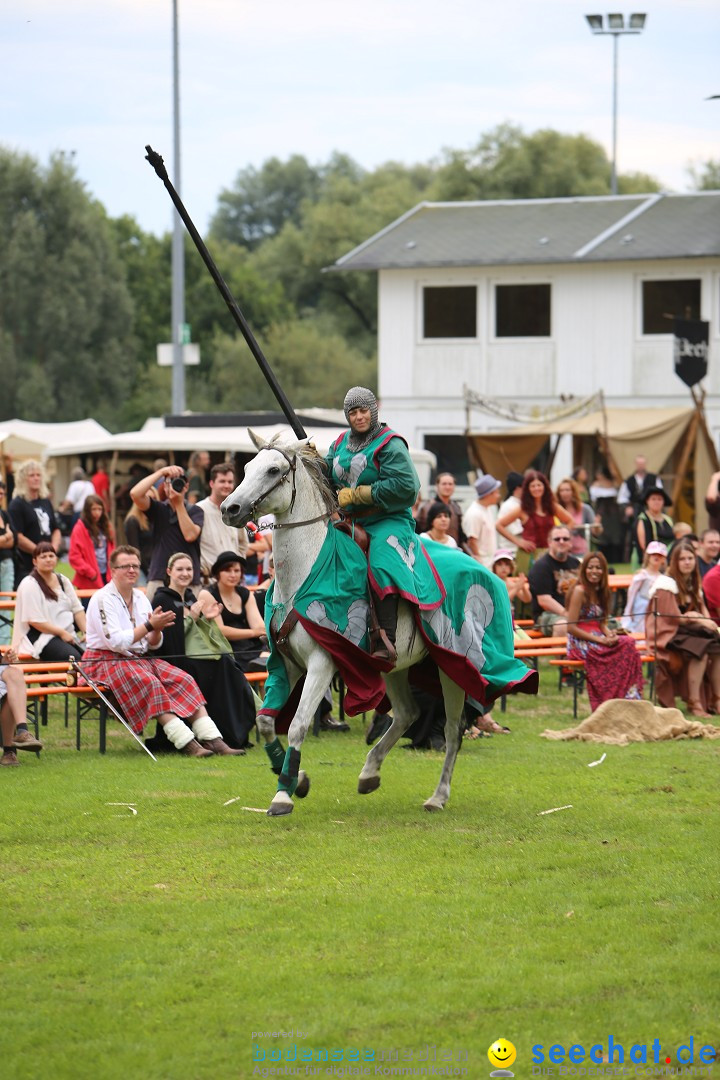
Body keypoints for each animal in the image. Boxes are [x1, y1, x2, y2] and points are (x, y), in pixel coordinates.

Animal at [222, 429, 464, 816]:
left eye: (274, 470)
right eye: (246, 468)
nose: (229, 509)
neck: (304, 570)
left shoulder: (322, 664)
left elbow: (298, 725)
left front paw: (283, 794)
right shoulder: (288, 663)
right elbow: (265, 721)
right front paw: (296, 779)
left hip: (452, 666)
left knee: (454, 730)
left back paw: (438, 796)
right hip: (395, 667)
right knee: (407, 714)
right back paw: (369, 772)